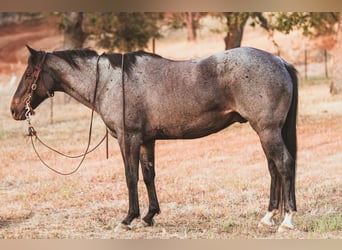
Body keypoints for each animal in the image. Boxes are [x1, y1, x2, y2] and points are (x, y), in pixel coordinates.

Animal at [9, 46, 296, 232]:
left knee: (284, 164)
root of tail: (280, 61)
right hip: (266, 131)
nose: (13, 109)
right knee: (274, 168)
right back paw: (269, 216)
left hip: (267, 130)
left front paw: (128, 219)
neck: (111, 81)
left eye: (28, 75)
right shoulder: (147, 141)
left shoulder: (129, 139)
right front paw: (149, 216)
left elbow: (130, 177)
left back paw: (287, 219)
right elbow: (148, 176)